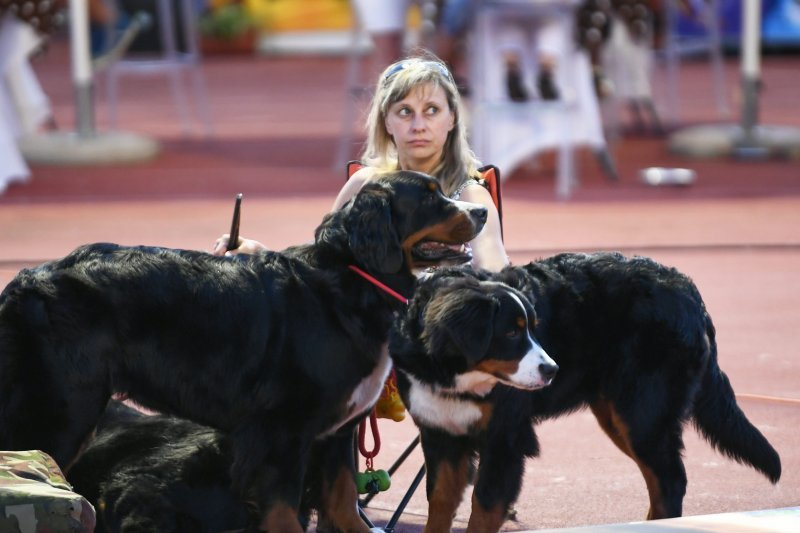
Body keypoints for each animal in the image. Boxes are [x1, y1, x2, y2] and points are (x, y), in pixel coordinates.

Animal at [0, 171, 488, 532]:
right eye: (430, 199)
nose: (482, 209)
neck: (351, 280)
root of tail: (26, 279)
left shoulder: (333, 434)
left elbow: (345, 503)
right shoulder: (281, 434)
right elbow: (285, 515)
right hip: (61, 413)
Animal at [394, 255, 780, 532]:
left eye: (532, 329)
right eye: (511, 333)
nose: (552, 369)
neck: (454, 375)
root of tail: (686, 288)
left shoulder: (505, 440)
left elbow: (484, 508)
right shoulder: (441, 434)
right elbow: (439, 503)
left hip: (642, 414)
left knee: (670, 481)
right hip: (618, 414)